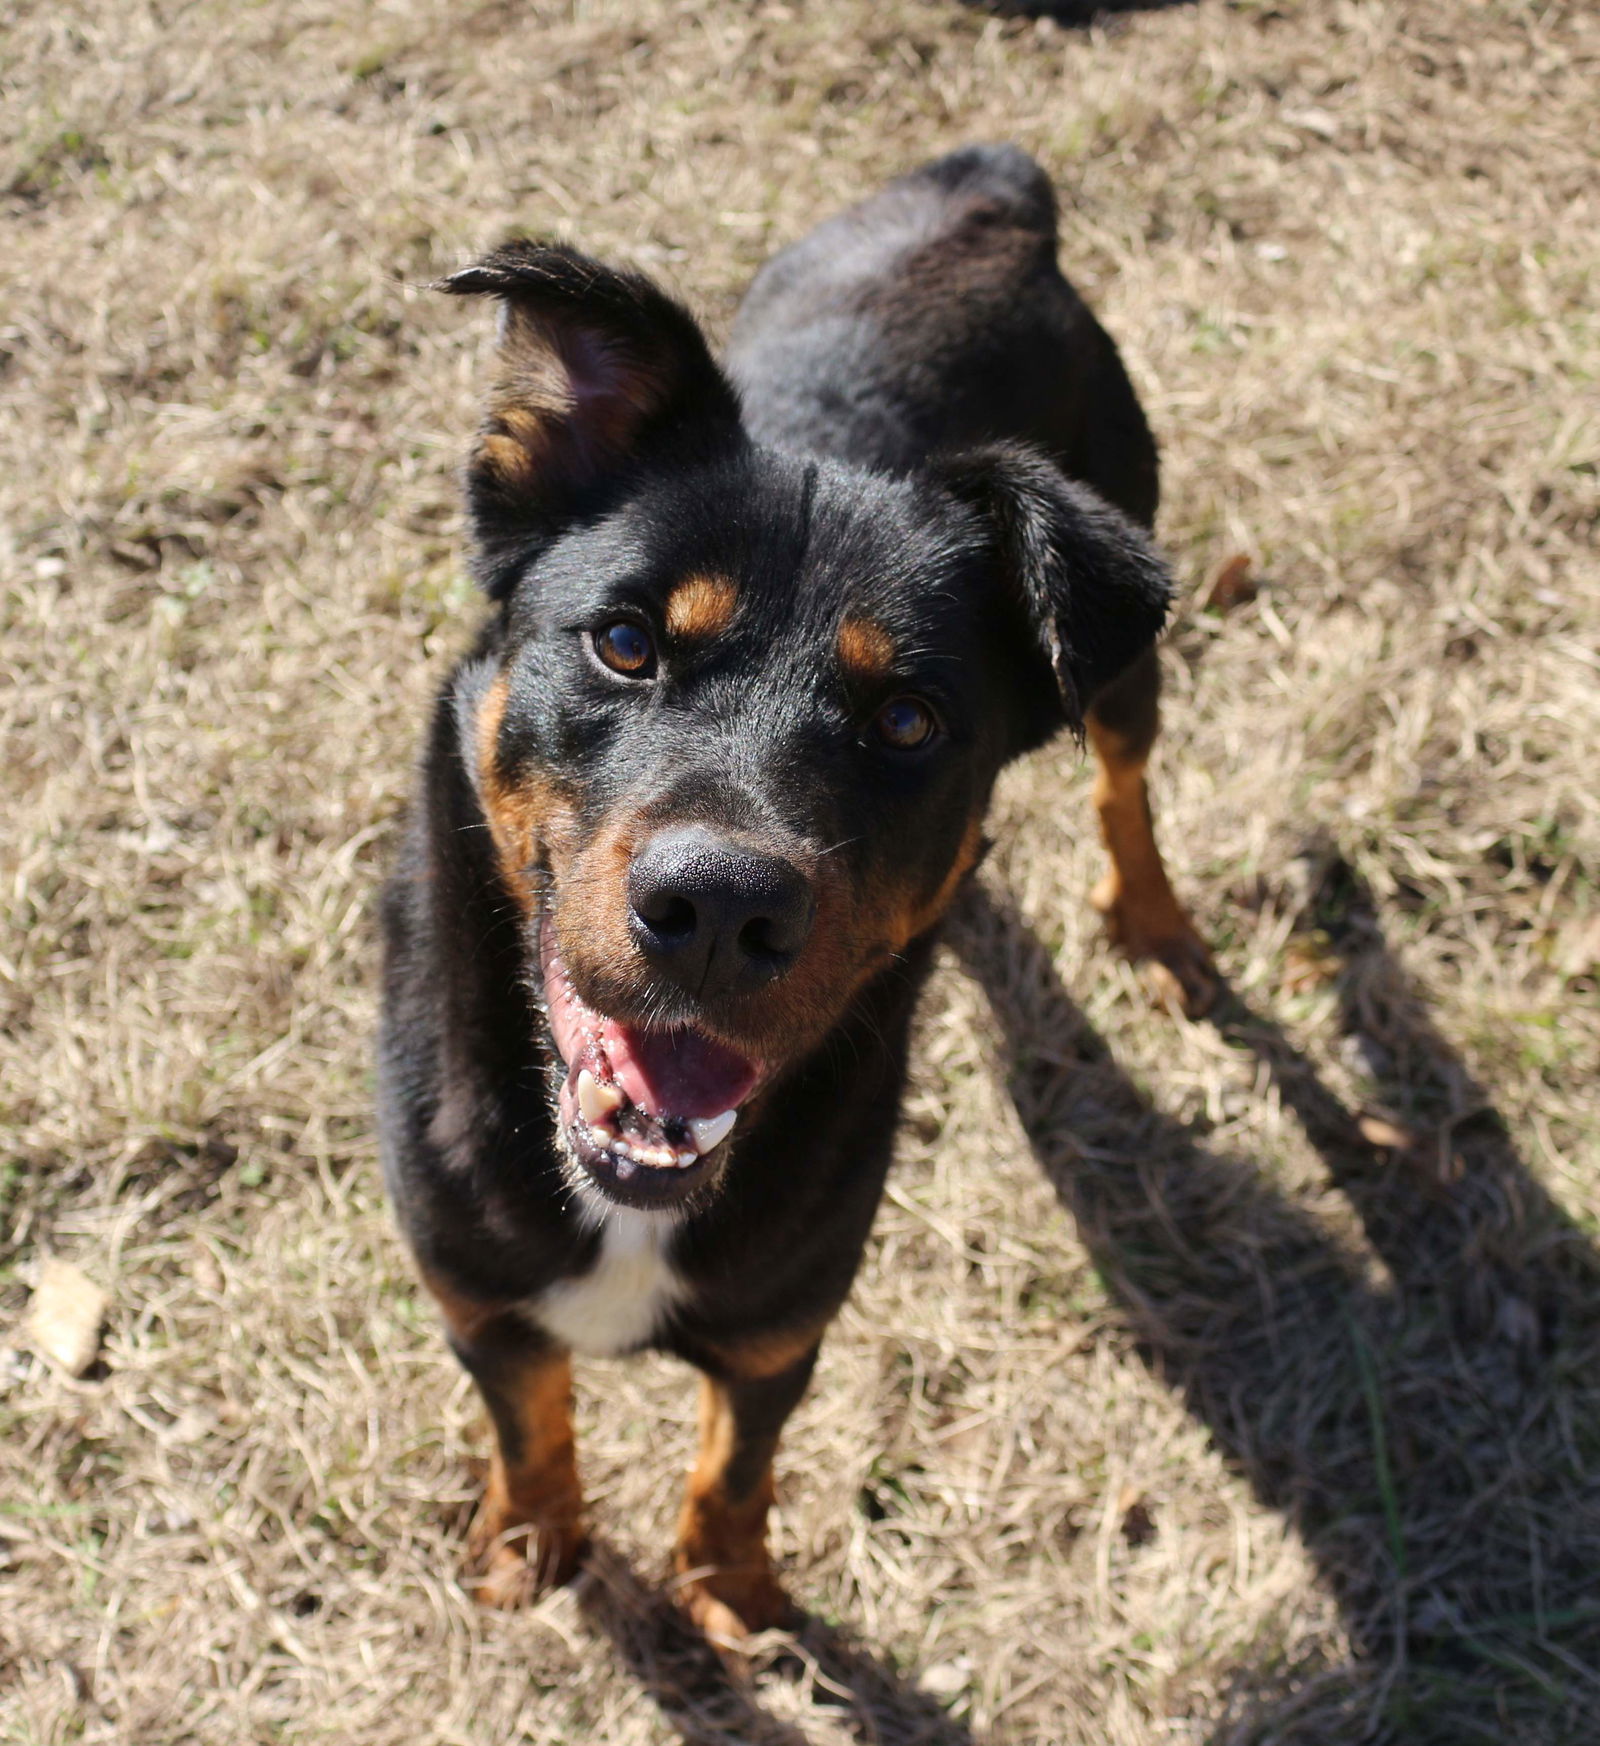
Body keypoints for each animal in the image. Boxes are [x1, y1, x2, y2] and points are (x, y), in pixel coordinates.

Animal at [377, 139, 1215, 1634]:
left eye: (909, 722)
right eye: (625, 642)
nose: (718, 909)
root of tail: (991, 196)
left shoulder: (783, 1330)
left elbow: (734, 1463)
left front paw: (732, 1592)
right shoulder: (475, 1298)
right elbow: (532, 1427)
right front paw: (533, 1543)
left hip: (1123, 650)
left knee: (1124, 782)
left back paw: (1156, 924)